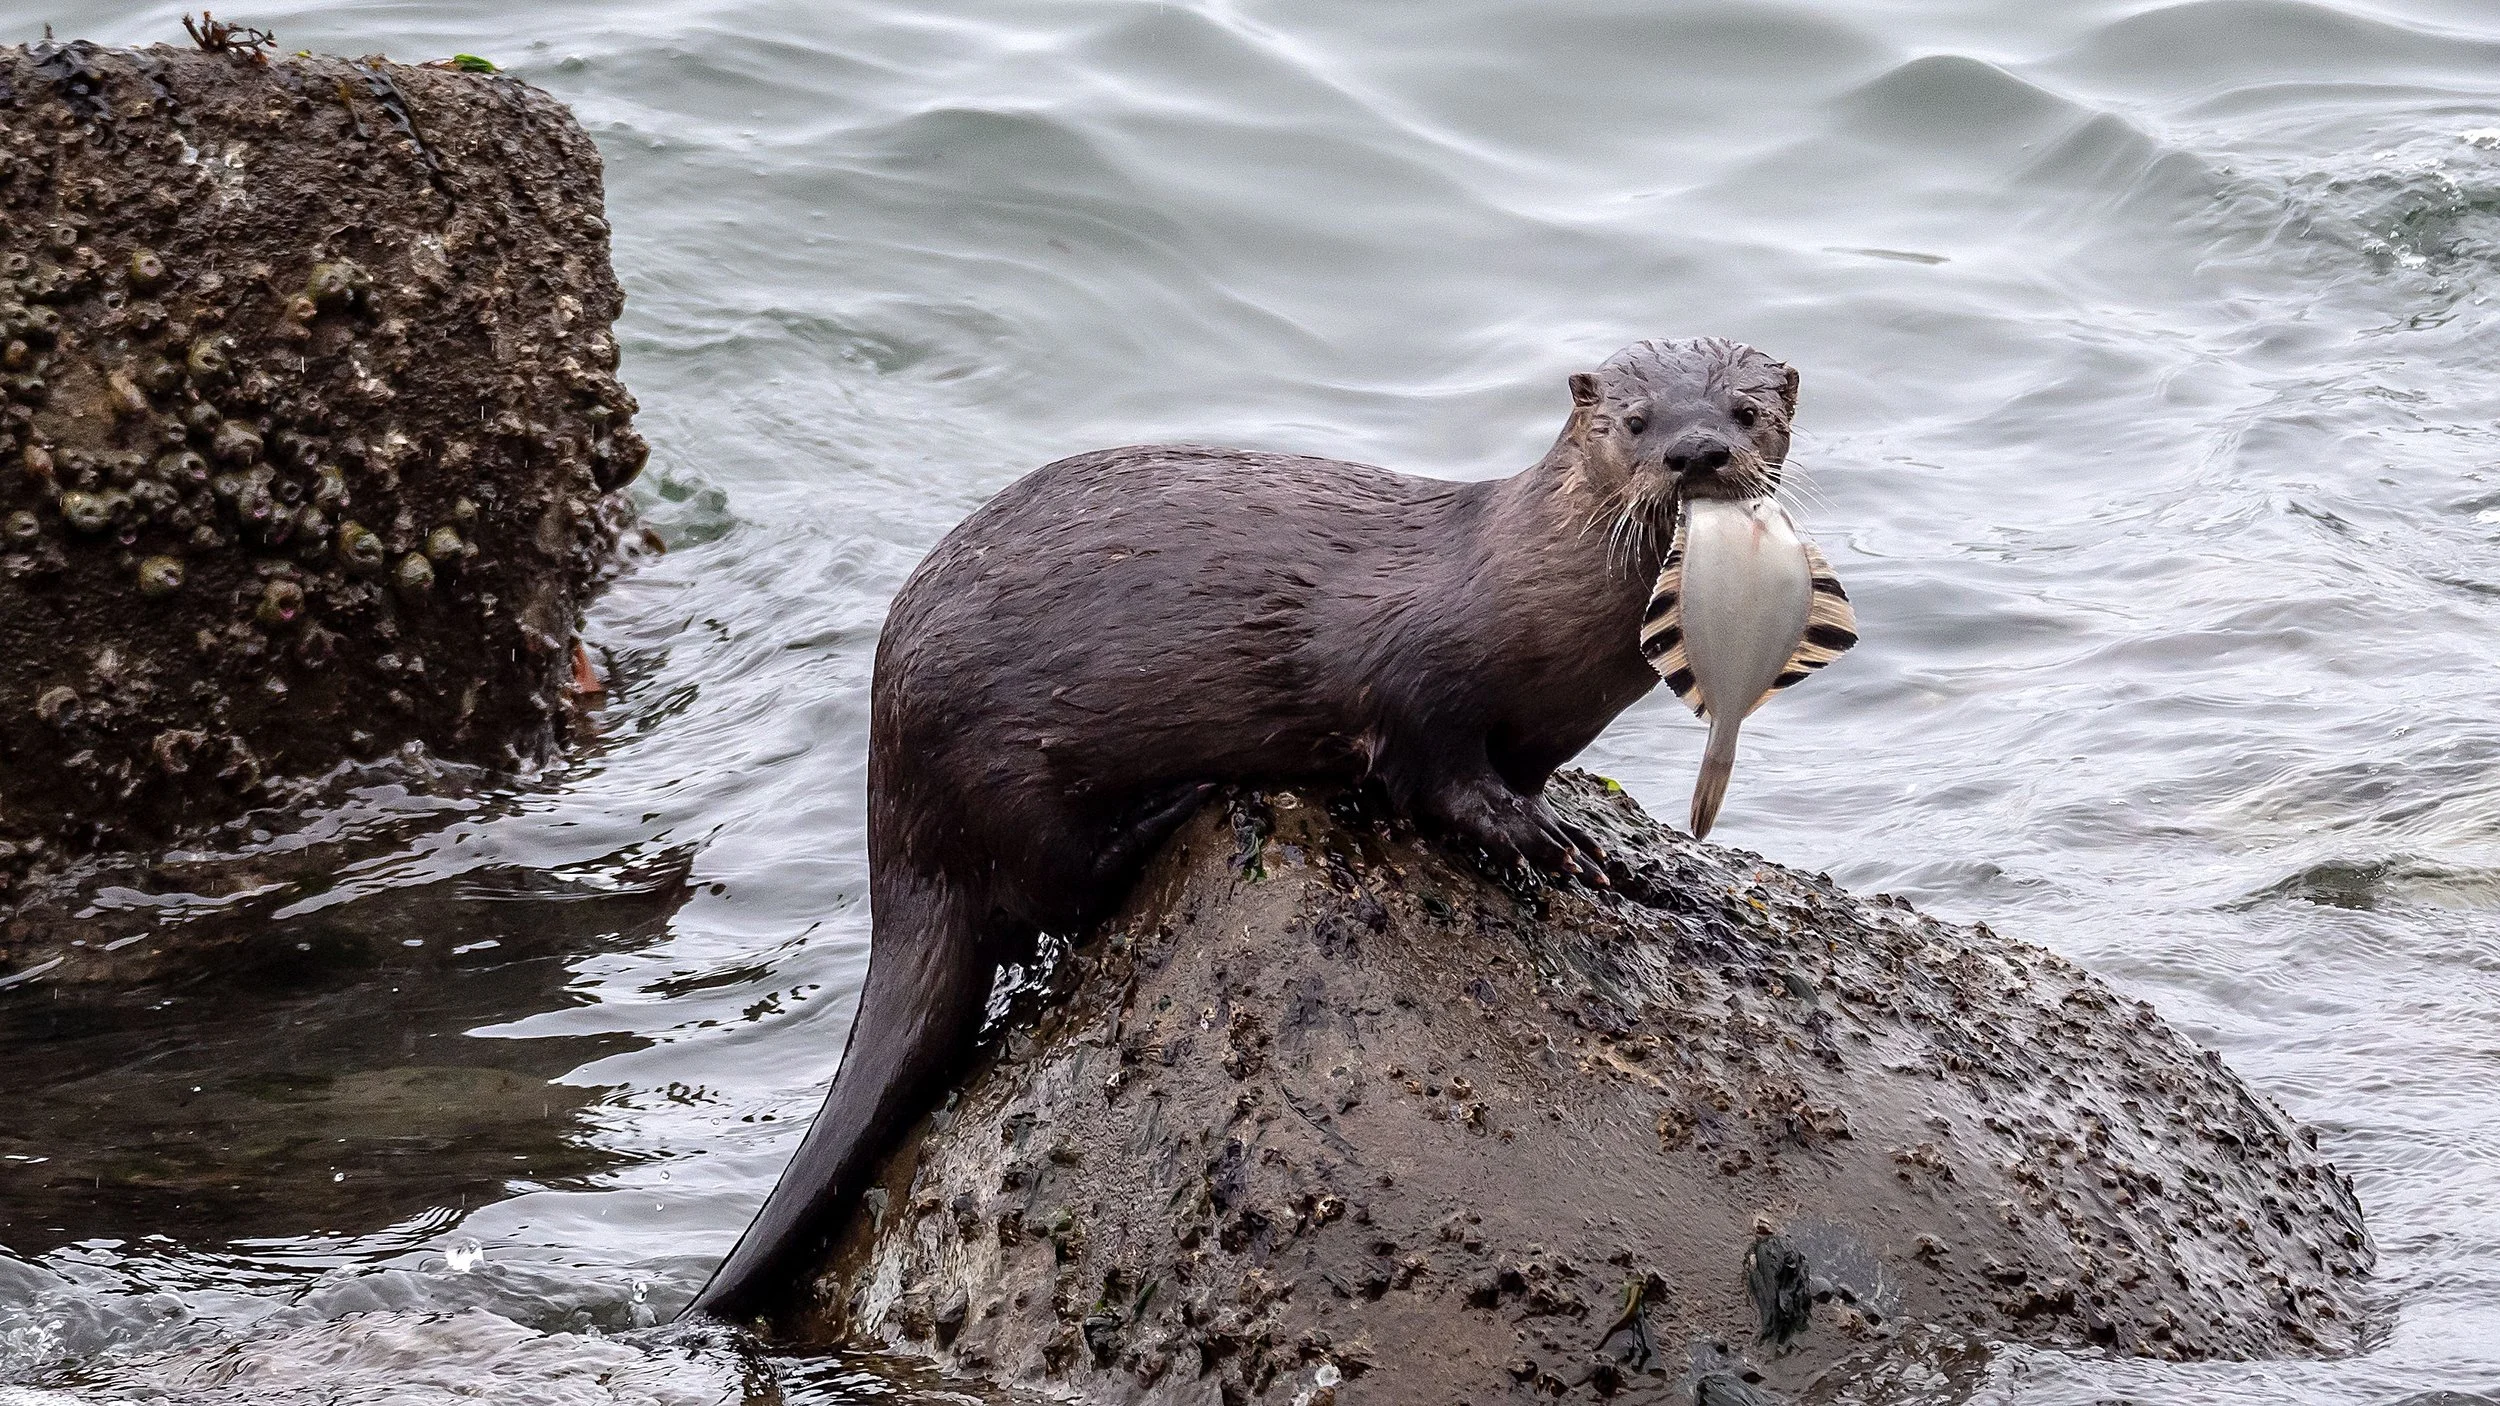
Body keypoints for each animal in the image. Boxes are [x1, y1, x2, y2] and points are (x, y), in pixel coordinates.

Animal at [686, 337, 1801, 1322]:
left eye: (1746, 409)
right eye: (1637, 419)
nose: (1696, 452)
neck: (1528, 593)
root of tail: (897, 833)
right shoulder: (1414, 677)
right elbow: (1436, 774)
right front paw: (1544, 840)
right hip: (1002, 771)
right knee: (1061, 883)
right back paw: (1176, 803)